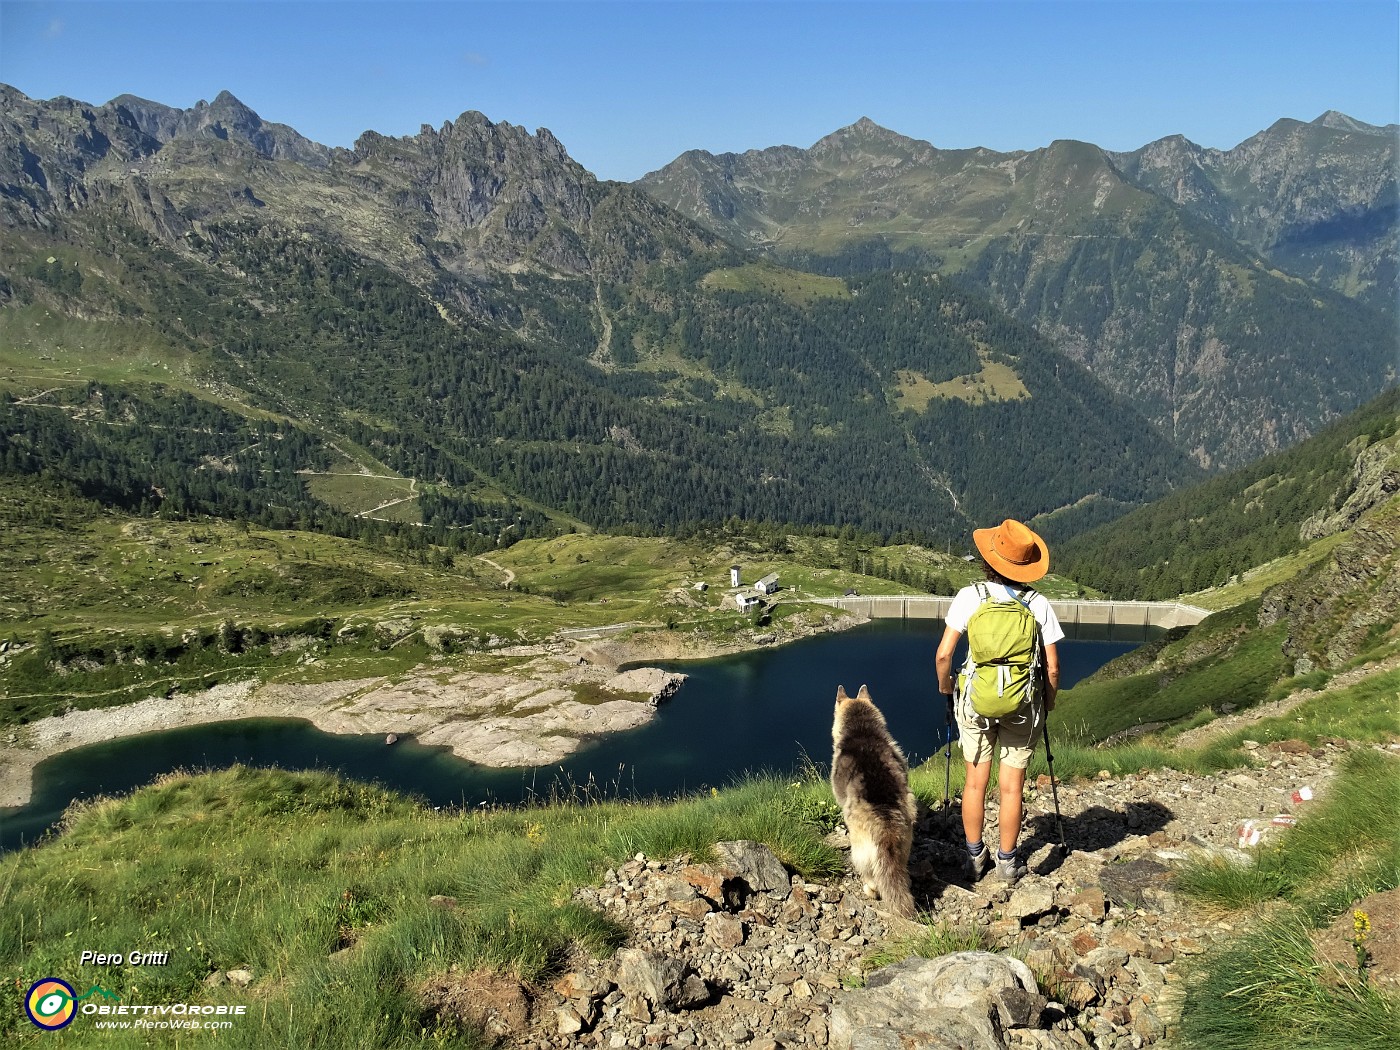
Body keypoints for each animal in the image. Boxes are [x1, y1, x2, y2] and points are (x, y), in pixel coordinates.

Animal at [828, 686, 918, 918]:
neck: (862, 731)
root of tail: (885, 827)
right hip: (905, 844)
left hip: (860, 851)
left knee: (871, 875)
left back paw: (870, 889)